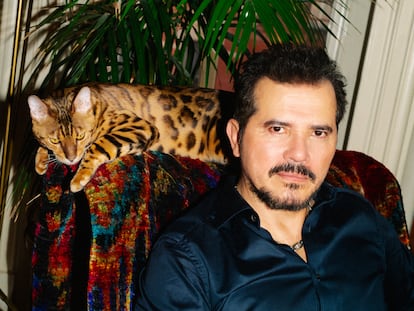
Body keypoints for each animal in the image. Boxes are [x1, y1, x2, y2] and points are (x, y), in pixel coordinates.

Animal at [28, 84, 233, 194]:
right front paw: (41, 161)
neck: (97, 103)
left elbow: (97, 146)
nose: (71, 159)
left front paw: (79, 178)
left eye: (80, 136)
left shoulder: (140, 127)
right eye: (55, 140)